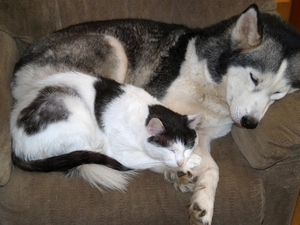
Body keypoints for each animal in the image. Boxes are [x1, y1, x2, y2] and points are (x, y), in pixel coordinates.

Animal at [10, 72, 200, 192]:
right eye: (171, 149)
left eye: (187, 147)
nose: (181, 161)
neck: (145, 112)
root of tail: (16, 145)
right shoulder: (121, 153)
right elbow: (152, 159)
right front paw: (187, 163)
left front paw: (187, 162)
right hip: (74, 110)